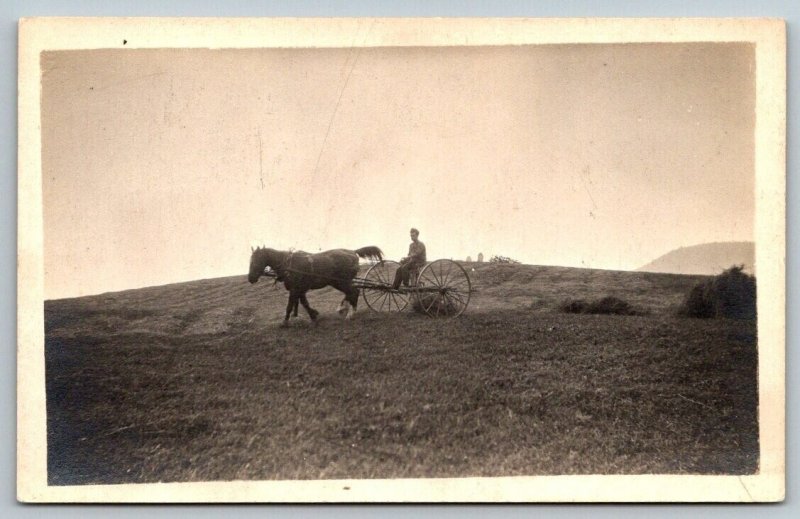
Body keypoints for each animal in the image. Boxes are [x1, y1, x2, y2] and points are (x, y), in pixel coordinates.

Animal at [247, 247, 384, 328]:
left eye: (255, 261)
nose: (250, 278)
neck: (289, 264)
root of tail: (352, 252)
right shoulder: (300, 289)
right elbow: (304, 303)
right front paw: (313, 315)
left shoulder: (295, 289)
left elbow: (290, 305)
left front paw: (285, 321)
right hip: (338, 282)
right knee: (350, 293)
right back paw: (343, 308)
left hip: (341, 282)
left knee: (354, 292)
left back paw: (350, 314)